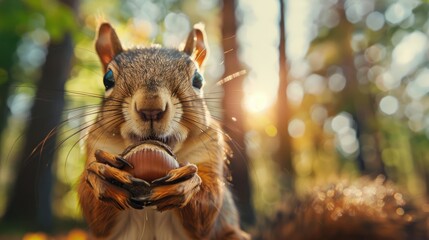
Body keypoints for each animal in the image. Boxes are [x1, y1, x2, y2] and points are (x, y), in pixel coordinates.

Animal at [77, 23, 247, 240]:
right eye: (108, 79)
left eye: (198, 79)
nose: (151, 108)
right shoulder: (97, 145)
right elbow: (96, 218)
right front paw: (103, 177)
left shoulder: (209, 150)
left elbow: (208, 208)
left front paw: (186, 184)